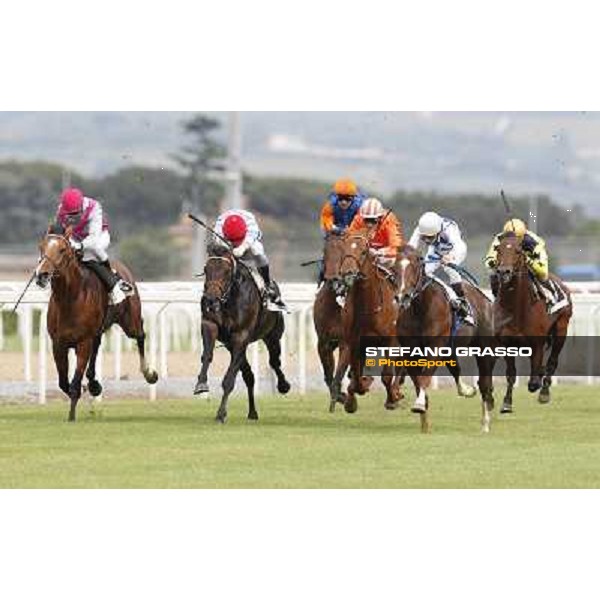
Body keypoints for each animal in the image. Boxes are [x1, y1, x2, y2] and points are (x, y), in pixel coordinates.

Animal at [34, 232, 157, 420]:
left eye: (62, 250)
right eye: (41, 247)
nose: (42, 274)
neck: (69, 299)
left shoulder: (83, 342)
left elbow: (75, 382)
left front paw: (72, 415)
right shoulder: (58, 344)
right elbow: (64, 383)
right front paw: (88, 390)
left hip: (130, 321)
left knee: (140, 335)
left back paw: (149, 373)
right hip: (97, 331)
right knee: (97, 348)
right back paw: (93, 384)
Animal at [193, 246, 290, 424]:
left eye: (226, 271)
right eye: (206, 269)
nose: (210, 299)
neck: (230, 299)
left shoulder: (241, 335)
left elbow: (229, 380)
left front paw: (221, 414)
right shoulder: (210, 325)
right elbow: (207, 355)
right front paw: (201, 384)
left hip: (272, 336)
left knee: (274, 362)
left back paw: (283, 385)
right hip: (232, 345)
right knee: (249, 375)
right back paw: (252, 412)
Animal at [330, 229, 400, 412]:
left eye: (363, 252)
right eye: (344, 249)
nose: (348, 273)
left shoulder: (390, 340)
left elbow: (387, 375)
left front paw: (392, 399)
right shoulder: (352, 341)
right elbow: (353, 375)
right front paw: (351, 399)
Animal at [394, 246, 496, 434]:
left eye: (414, 267)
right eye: (395, 268)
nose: (402, 297)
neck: (420, 309)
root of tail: (485, 299)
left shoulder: (435, 347)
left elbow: (425, 377)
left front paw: (420, 404)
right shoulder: (410, 351)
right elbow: (418, 381)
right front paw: (424, 420)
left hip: (484, 349)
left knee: (484, 383)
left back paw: (485, 423)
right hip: (451, 348)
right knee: (456, 370)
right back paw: (466, 390)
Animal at [492, 232, 572, 410]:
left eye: (518, 251)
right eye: (498, 250)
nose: (504, 272)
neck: (517, 308)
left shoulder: (537, 343)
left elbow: (534, 381)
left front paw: (538, 385)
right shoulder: (506, 343)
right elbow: (511, 374)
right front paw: (507, 402)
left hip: (561, 329)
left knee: (552, 362)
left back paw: (544, 392)